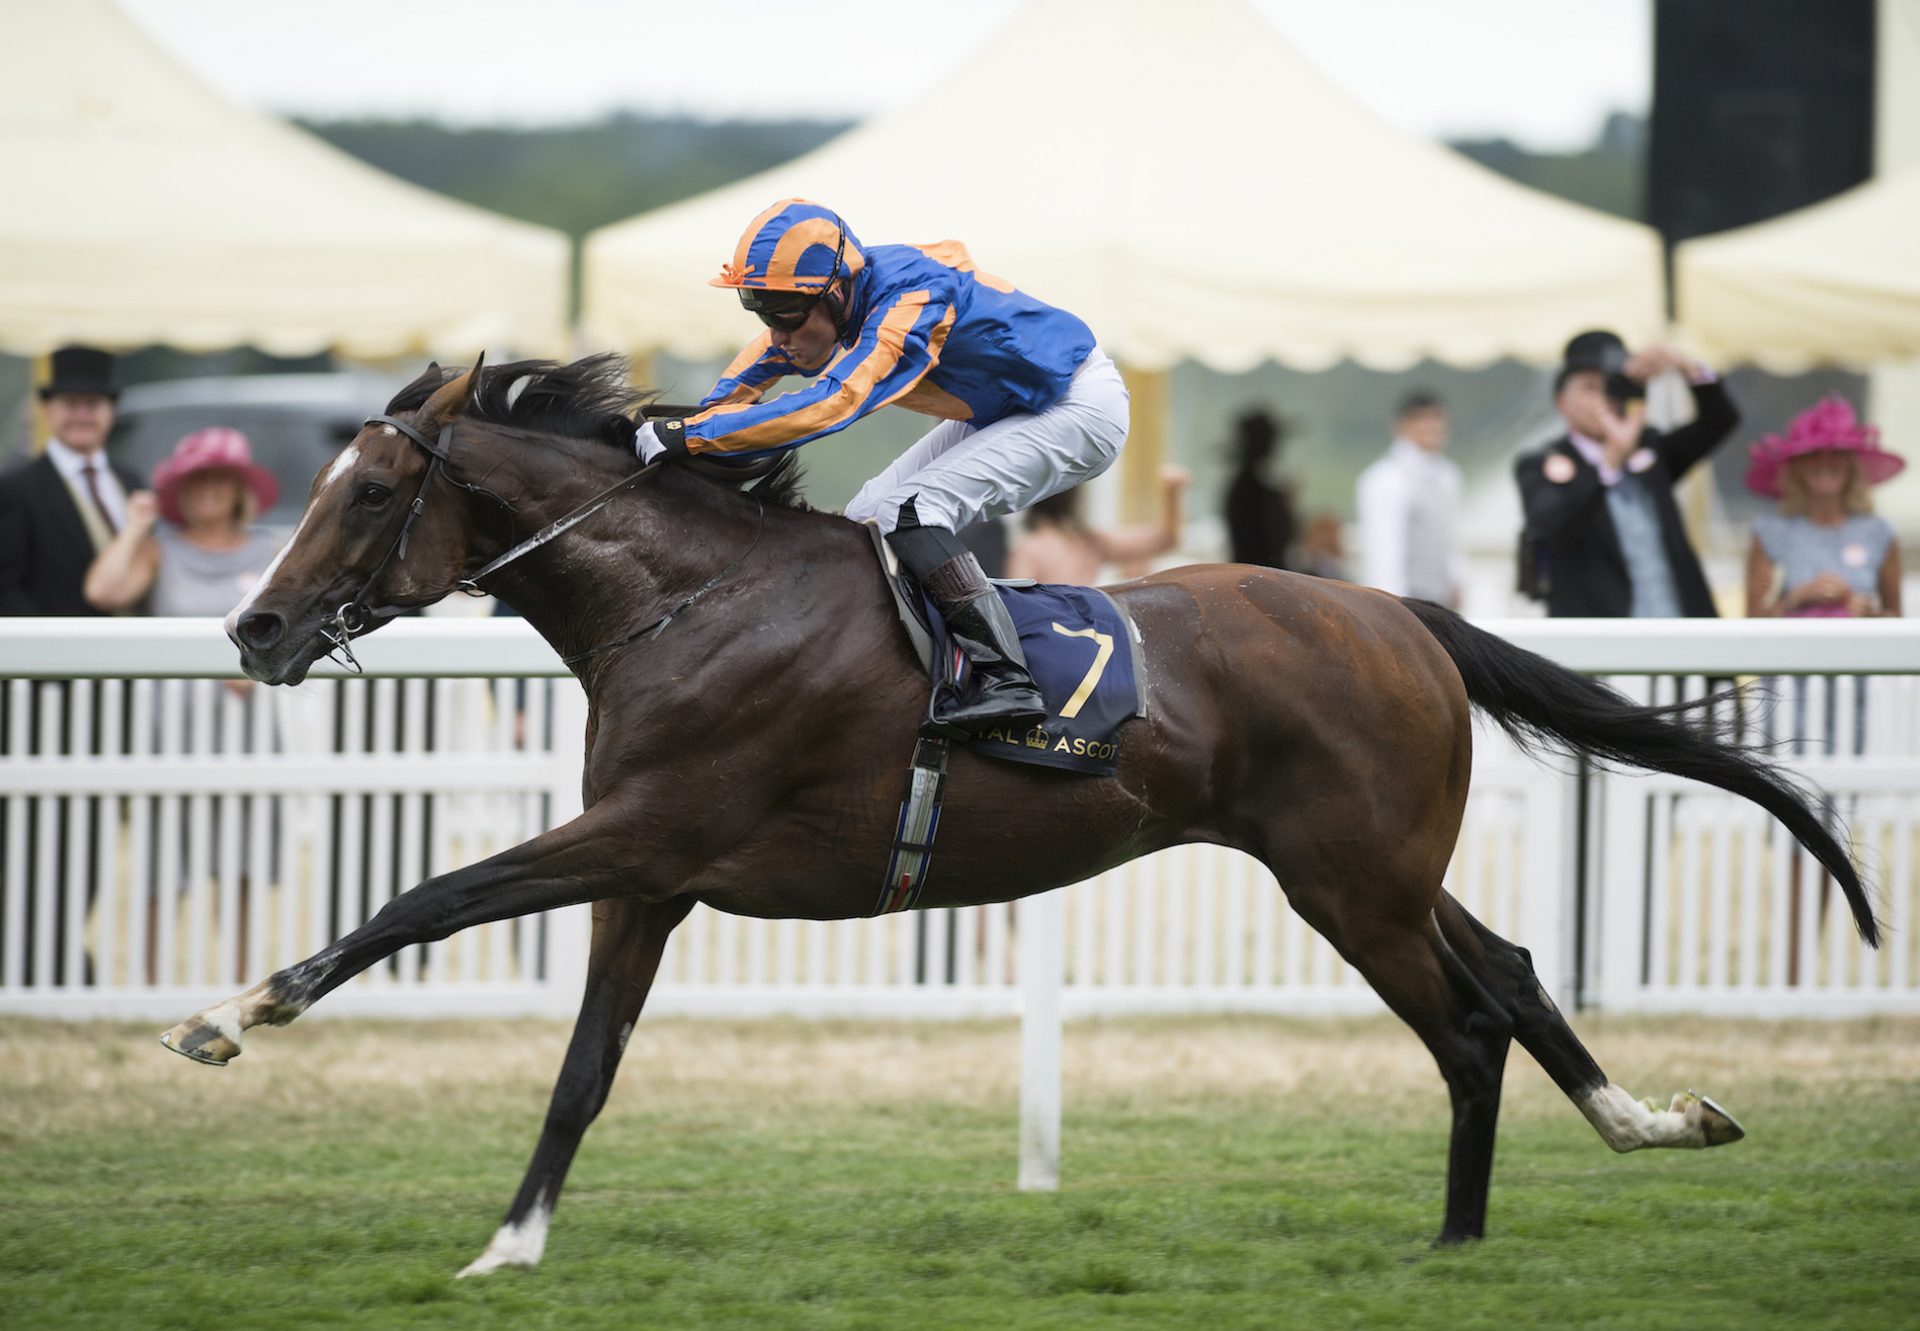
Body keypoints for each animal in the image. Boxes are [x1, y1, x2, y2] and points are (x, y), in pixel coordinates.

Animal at [161, 359, 1873, 1275]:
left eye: (369, 490)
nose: (254, 628)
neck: (685, 598)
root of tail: (1399, 609)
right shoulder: (648, 872)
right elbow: (583, 1067)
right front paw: (511, 1242)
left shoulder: (646, 833)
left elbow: (422, 898)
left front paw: (232, 1012)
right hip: (1375, 863)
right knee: (1510, 973)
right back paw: (1646, 1121)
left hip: (1350, 882)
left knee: (1463, 1023)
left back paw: (1457, 1242)